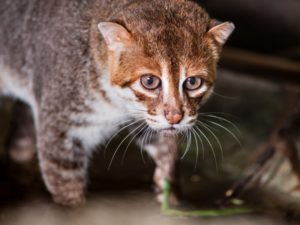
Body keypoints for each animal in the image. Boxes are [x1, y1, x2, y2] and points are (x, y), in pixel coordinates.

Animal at [0, 0, 234, 206]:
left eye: (193, 82)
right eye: (149, 81)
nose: (175, 117)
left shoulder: (145, 116)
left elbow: (164, 144)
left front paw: (169, 191)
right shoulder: (59, 132)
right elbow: (68, 190)